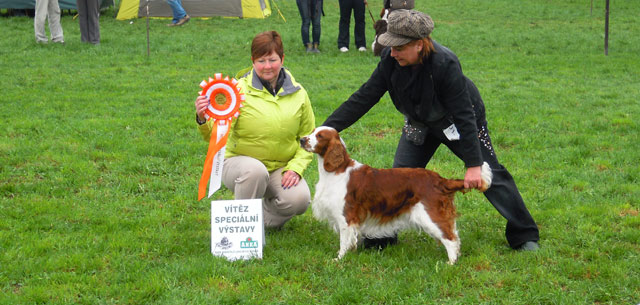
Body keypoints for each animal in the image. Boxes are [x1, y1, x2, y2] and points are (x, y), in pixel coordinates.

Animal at [302, 126, 496, 264]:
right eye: (312, 132)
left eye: (320, 136)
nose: (302, 139)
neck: (336, 170)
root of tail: (440, 180)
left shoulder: (346, 217)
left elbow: (344, 241)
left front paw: (339, 259)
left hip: (429, 214)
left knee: (450, 238)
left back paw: (450, 263)